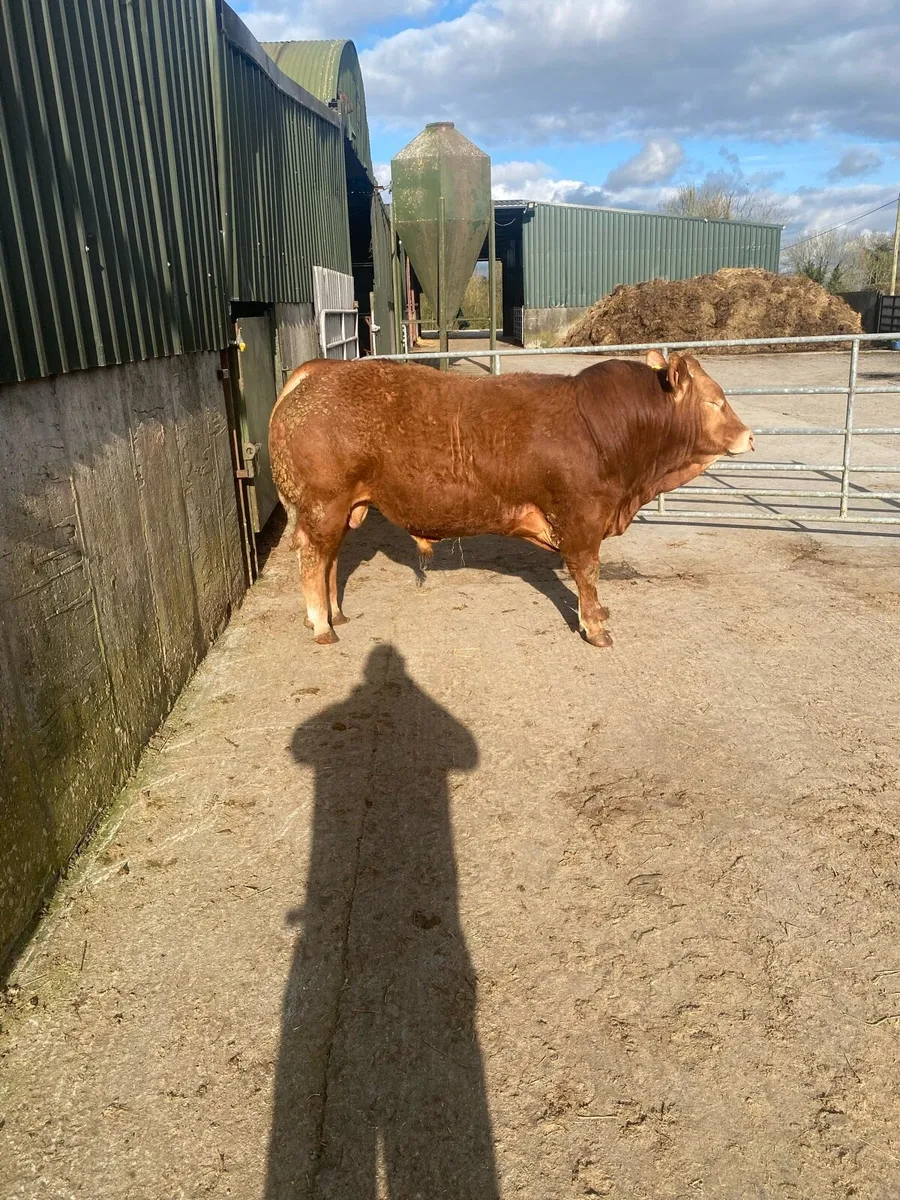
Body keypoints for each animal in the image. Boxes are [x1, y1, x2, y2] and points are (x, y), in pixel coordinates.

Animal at [269, 351, 753, 648]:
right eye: (715, 401)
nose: (749, 436)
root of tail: (321, 369)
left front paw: (599, 614)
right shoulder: (582, 518)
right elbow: (587, 572)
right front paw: (595, 628)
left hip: (341, 509)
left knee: (331, 560)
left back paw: (335, 614)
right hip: (323, 505)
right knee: (313, 559)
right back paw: (322, 626)